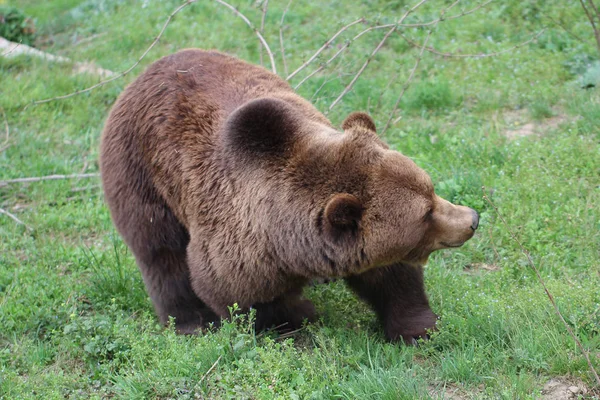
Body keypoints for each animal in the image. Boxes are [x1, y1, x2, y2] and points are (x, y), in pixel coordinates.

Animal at [102, 49, 478, 344]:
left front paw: (418, 329)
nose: (472, 219)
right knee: (161, 252)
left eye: (430, 190)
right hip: (140, 174)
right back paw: (191, 322)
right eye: (426, 214)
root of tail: (144, 73)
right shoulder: (239, 246)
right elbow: (242, 295)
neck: (287, 243)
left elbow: (392, 277)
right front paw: (296, 321)